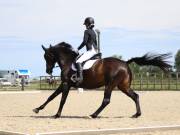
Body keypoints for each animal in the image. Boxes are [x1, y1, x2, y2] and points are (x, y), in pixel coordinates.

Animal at [33, 42, 172, 118]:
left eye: (47, 56)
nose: (48, 71)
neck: (68, 61)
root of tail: (125, 63)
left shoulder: (66, 84)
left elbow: (62, 99)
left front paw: (57, 115)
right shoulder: (64, 84)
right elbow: (51, 96)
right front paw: (38, 109)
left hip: (110, 84)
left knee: (106, 100)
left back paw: (93, 115)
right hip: (123, 86)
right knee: (135, 96)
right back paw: (136, 114)